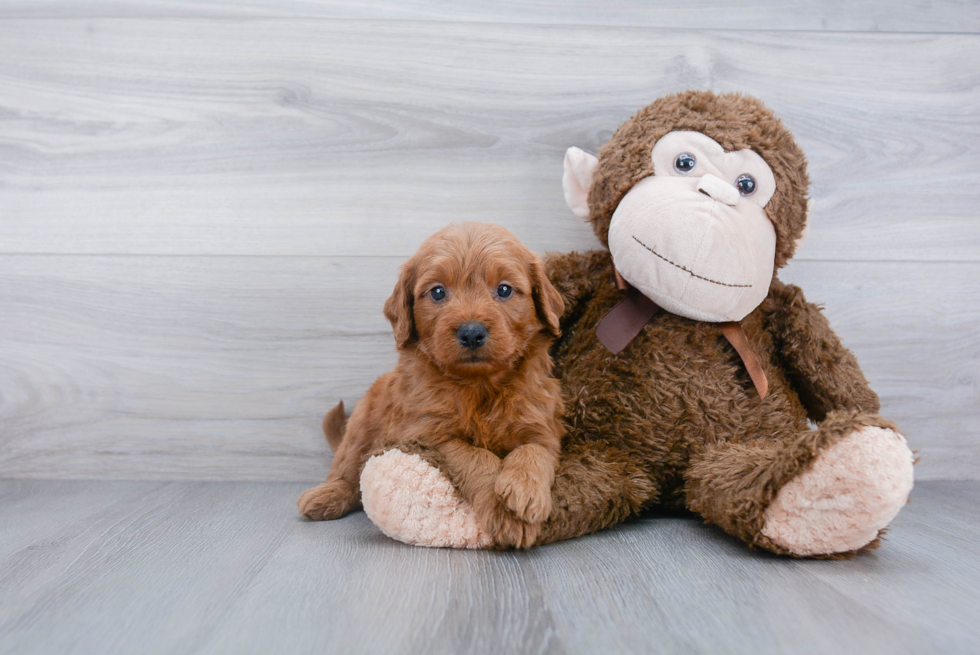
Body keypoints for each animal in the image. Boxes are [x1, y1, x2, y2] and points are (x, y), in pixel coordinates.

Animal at [294, 223, 564, 544]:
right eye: (437, 292)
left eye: (504, 289)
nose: (471, 332)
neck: (480, 385)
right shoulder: (429, 434)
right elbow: (476, 457)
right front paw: (502, 512)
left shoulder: (542, 426)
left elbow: (533, 451)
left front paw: (524, 494)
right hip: (361, 423)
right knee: (348, 468)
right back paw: (326, 495)